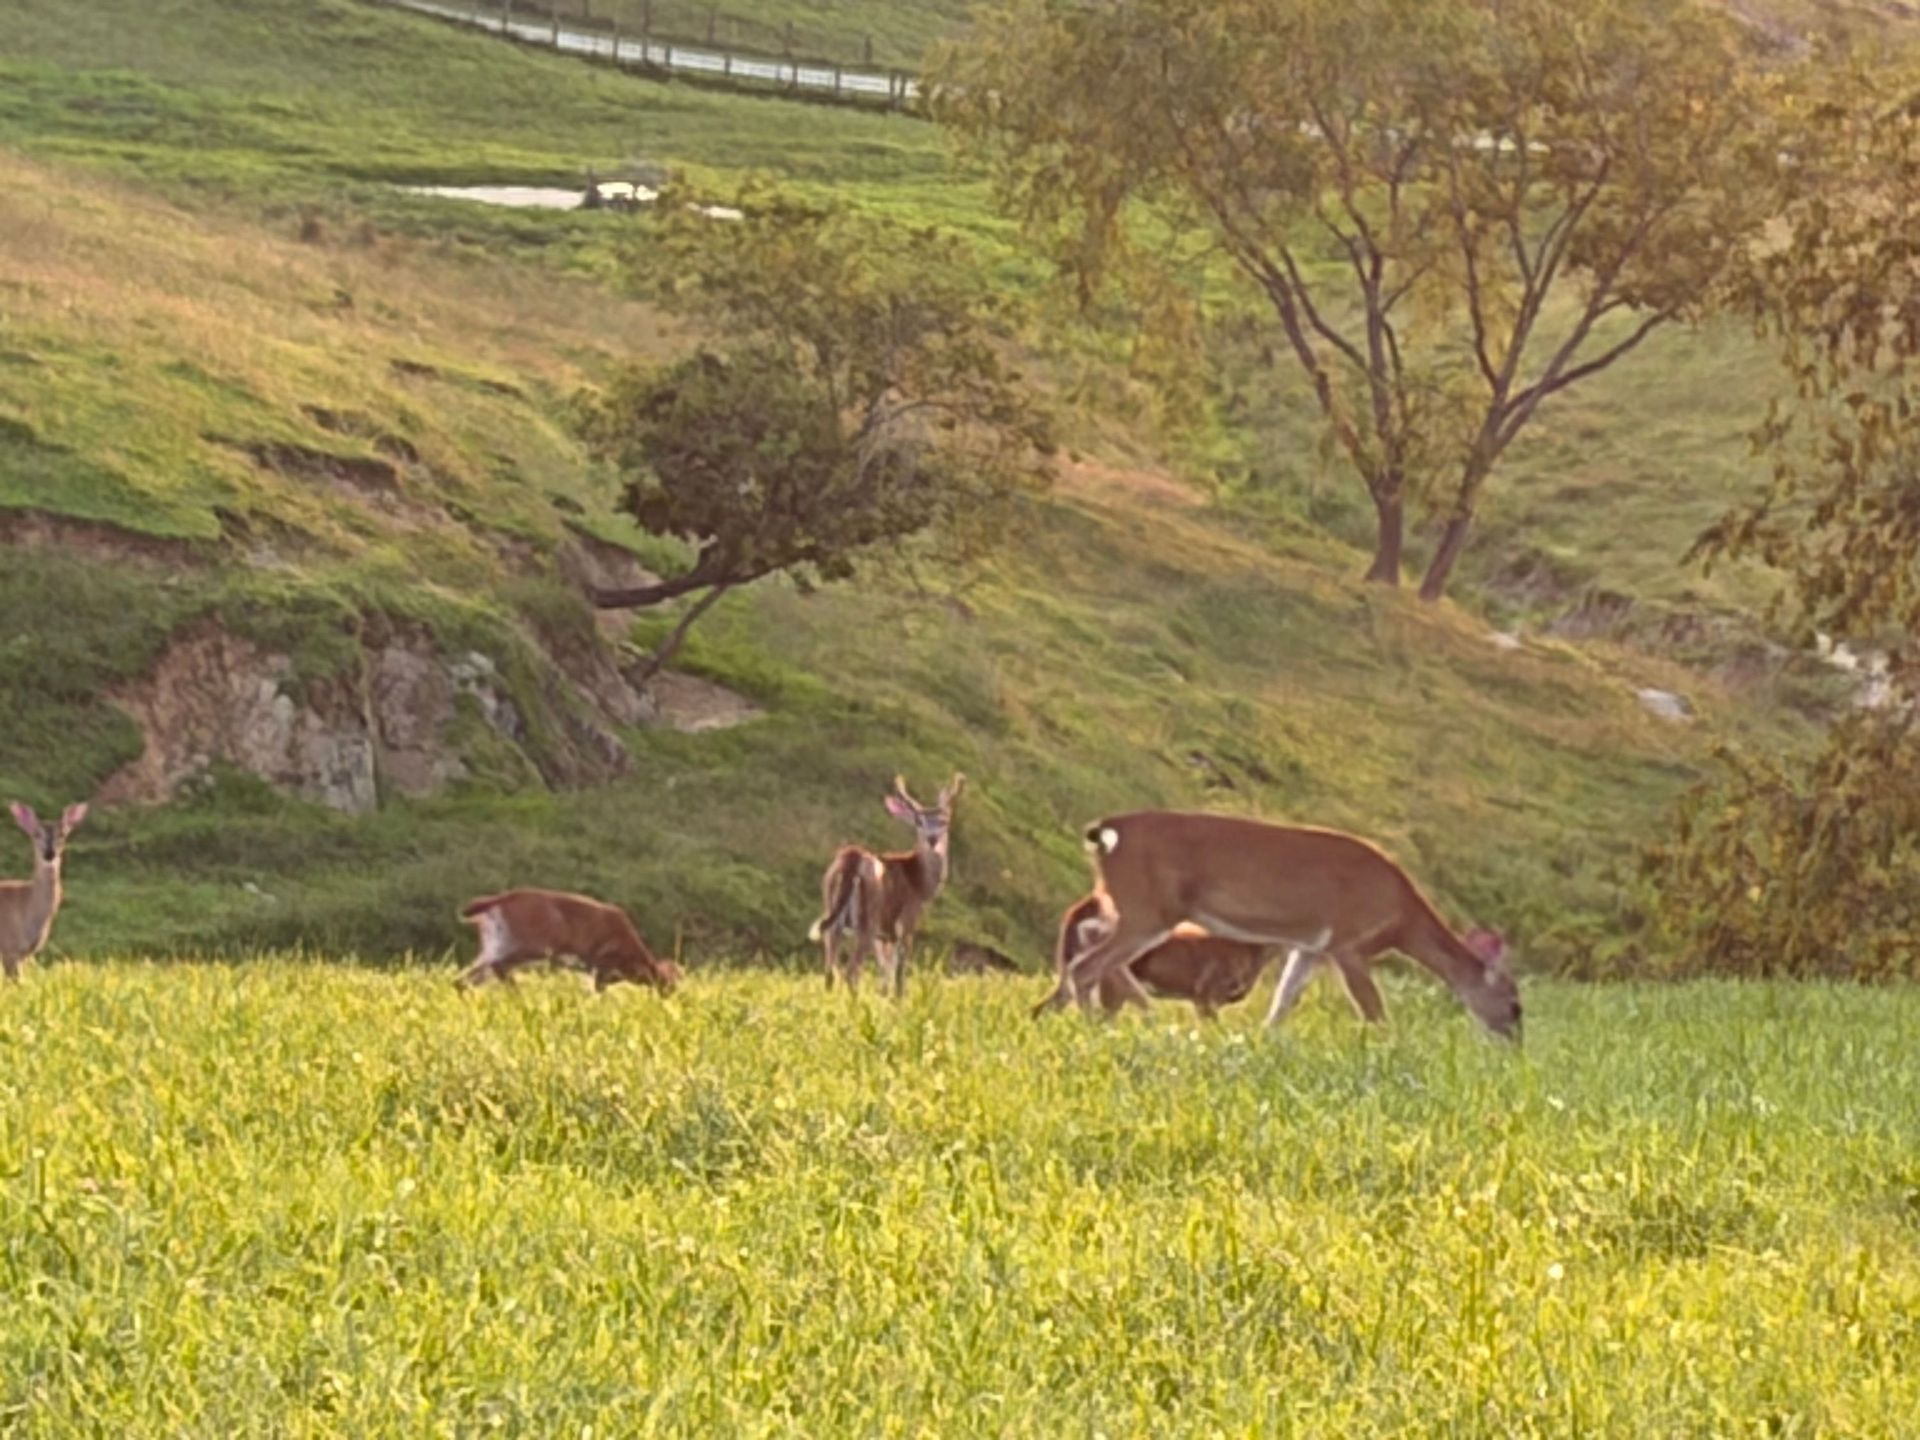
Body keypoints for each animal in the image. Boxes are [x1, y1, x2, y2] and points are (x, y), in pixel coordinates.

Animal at [456, 888, 682, 994]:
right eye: (669, 985)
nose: (671, 997)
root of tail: (498, 900)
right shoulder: (601, 965)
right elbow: (598, 992)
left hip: (494, 943)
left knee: (463, 979)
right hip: (533, 943)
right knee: (497, 966)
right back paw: (518, 993)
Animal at [809, 772, 964, 998]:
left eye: (945, 821)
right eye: (919, 821)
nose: (932, 839)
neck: (920, 883)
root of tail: (852, 859)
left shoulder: (883, 935)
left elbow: (885, 972)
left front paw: (883, 996)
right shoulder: (907, 921)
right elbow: (899, 973)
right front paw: (899, 999)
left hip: (833, 911)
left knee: (830, 972)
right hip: (867, 919)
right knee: (851, 972)